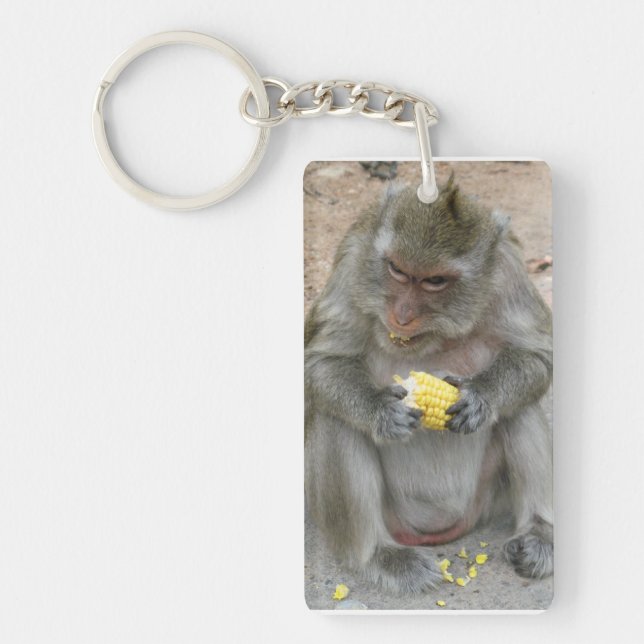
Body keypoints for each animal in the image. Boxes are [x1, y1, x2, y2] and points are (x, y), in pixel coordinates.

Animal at [304, 176, 553, 594]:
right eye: (397, 270)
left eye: (435, 281)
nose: (402, 316)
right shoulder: (353, 257)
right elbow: (322, 363)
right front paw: (380, 411)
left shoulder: (510, 270)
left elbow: (537, 356)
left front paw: (481, 397)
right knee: (335, 419)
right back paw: (378, 555)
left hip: (486, 499)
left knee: (522, 409)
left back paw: (540, 534)